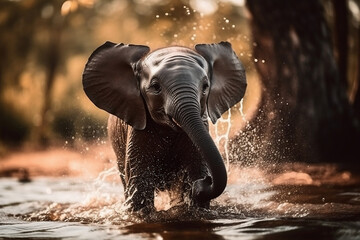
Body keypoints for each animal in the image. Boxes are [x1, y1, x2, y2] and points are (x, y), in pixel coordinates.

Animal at [82, 41, 246, 214]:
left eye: (205, 86)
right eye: (155, 87)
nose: (206, 181)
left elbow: (196, 170)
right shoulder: (139, 131)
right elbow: (139, 181)